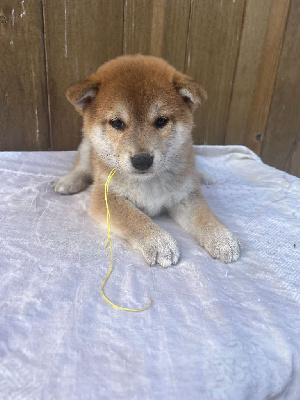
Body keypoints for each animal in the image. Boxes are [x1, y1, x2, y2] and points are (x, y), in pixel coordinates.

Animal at [54, 54, 241, 268]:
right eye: (117, 123)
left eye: (161, 121)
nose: (142, 161)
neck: (148, 182)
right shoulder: (107, 197)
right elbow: (134, 218)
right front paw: (159, 241)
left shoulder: (186, 196)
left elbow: (204, 215)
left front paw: (222, 238)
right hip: (87, 146)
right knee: (83, 165)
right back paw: (69, 181)